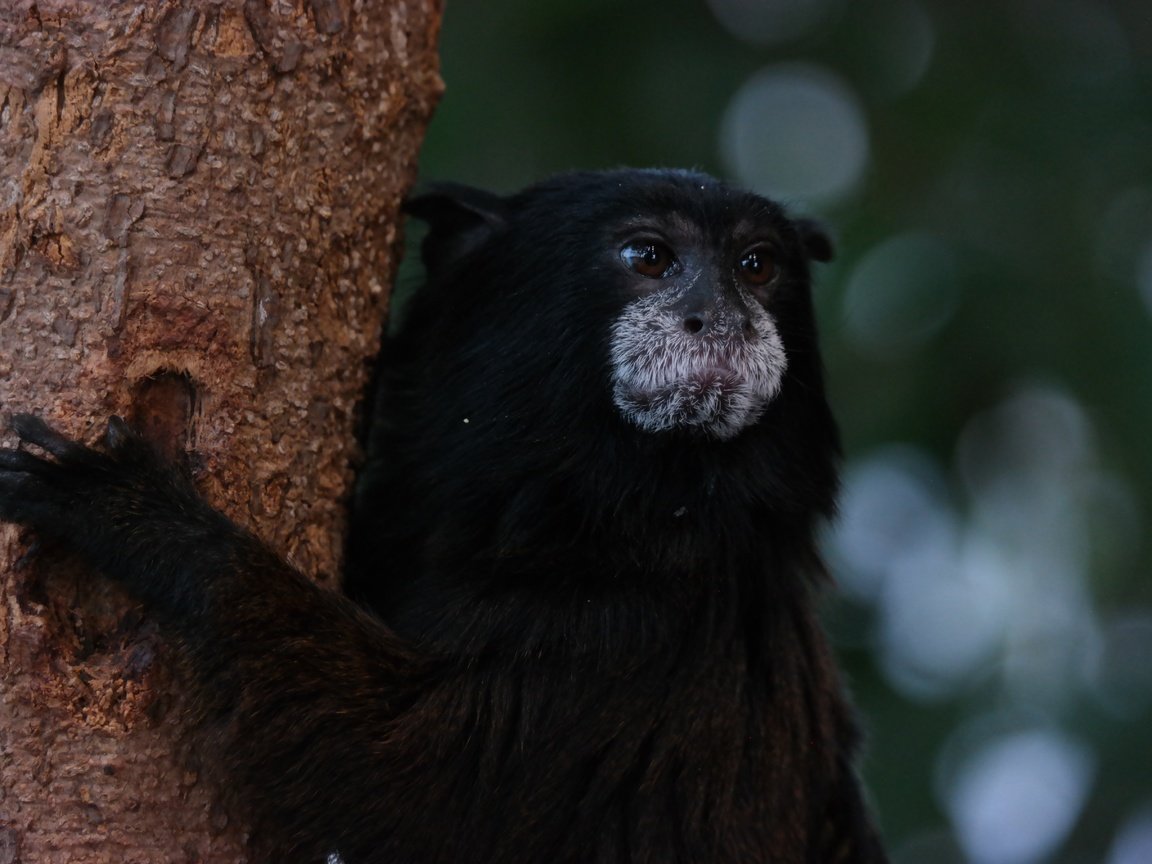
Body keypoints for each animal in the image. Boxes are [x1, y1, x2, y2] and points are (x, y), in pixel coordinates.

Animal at [0, 170, 889, 864]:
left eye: (757, 265)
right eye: (650, 257)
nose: (728, 319)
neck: (606, 514)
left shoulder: (647, 635)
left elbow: (404, 798)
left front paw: (142, 523)